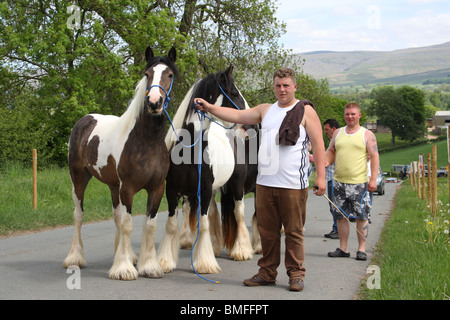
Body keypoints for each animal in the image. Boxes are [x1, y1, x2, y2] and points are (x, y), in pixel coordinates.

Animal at [62, 46, 178, 278]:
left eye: (169, 74)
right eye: (147, 74)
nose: (154, 102)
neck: (146, 141)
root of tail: (85, 120)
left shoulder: (157, 188)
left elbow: (149, 224)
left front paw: (148, 266)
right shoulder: (128, 188)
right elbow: (127, 224)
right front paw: (123, 269)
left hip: (113, 185)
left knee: (116, 215)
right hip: (79, 179)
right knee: (79, 215)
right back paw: (75, 258)